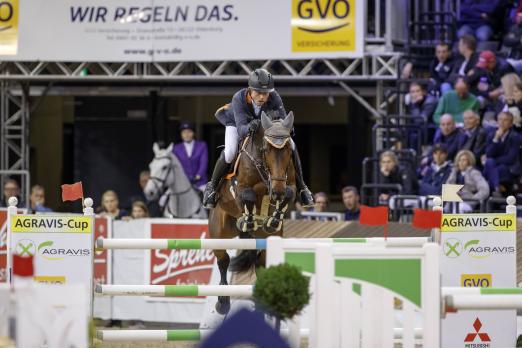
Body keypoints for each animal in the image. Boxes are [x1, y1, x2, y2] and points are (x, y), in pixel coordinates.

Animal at [208, 112, 296, 316]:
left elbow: (290, 192)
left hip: (264, 240)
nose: (277, 191)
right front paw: (248, 220)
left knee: (261, 264)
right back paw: (223, 302)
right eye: (266, 149)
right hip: (219, 232)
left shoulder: (289, 185)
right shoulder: (239, 188)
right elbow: (247, 195)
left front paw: (273, 220)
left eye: (288, 150)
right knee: (223, 260)